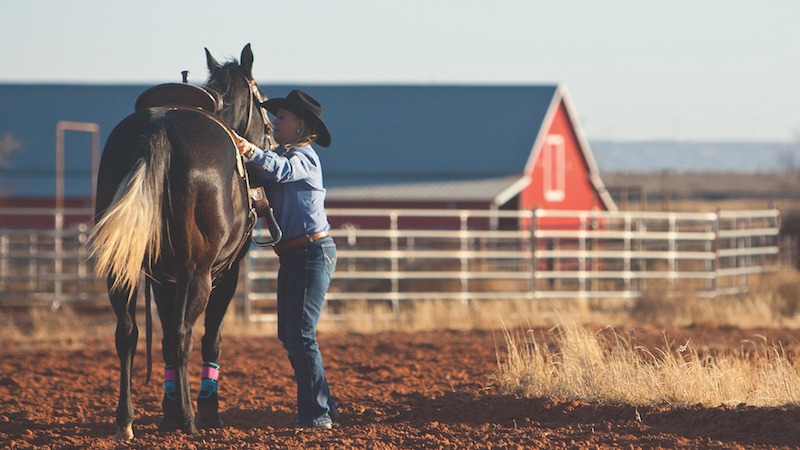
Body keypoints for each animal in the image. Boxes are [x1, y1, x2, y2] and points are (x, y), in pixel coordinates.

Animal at [88, 44, 274, 441]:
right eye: (264, 106)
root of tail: (158, 131)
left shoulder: (162, 278)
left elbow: (158, 341)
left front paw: (168, 410)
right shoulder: (225, 273)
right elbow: (210, 338)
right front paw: (206, 410)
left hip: (123, 272)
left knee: (127, 334)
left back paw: (125, 420)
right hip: (198, 274)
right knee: (183, 335)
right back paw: (191, 420)